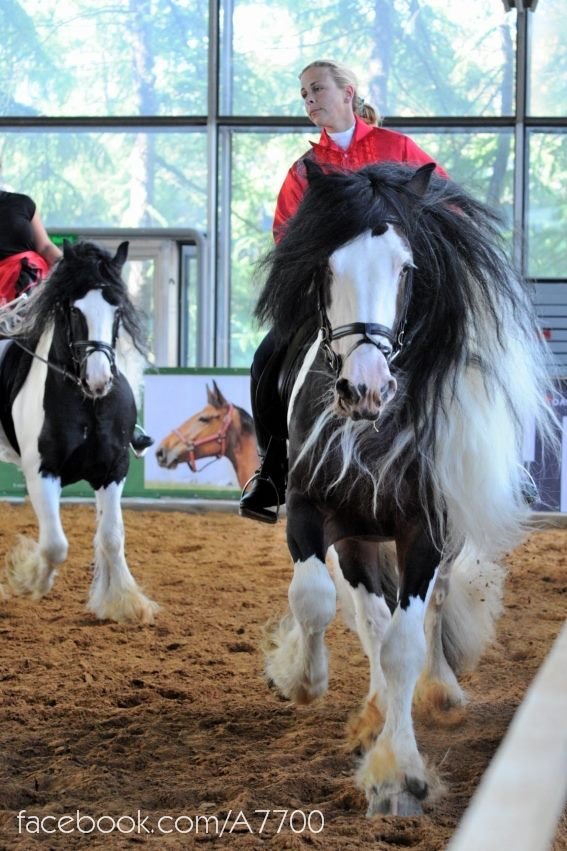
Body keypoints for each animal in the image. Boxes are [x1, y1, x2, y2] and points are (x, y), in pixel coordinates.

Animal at [0, 240, 158, 624]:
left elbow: (112, 536)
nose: (98, 379)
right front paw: (28, 581)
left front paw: (125, 603)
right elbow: (55, 545)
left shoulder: (114, 469)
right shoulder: (42, 471)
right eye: (74, 310)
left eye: (117, 311)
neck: (89, 406)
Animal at [255, 161, 556, 820]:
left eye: (405, 268)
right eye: (325, 267)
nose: (364, 387)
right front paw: (301, 678)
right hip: (358, 538)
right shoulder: (312, 511)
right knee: (369, 615)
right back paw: (371, 710)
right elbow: (316, 600)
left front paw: (399, 774)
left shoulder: (424, 530)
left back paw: (438, 691)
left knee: (428, 611)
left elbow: (405, 644)